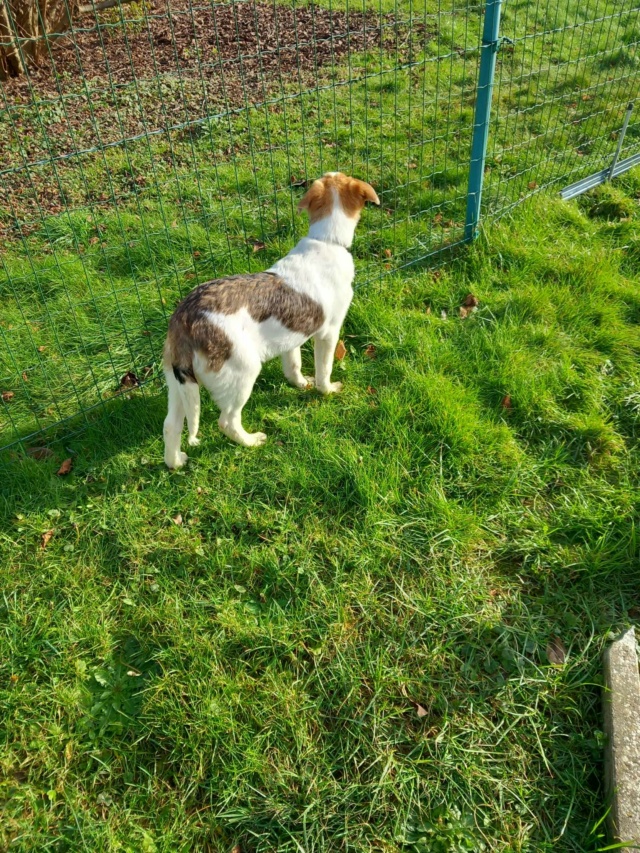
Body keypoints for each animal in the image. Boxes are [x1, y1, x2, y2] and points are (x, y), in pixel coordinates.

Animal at [162, 170, 378, 470]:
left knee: (171, 425)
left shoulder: (292, 337)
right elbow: (324, 369)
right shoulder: (328, 333)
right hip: (242, 374)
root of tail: (184, 318)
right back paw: (251, 441)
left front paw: (300, 384)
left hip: (179, 383)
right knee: (227, 421)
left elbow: (294, 365)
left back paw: (175, 462)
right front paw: (326, 390)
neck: (326, 240)